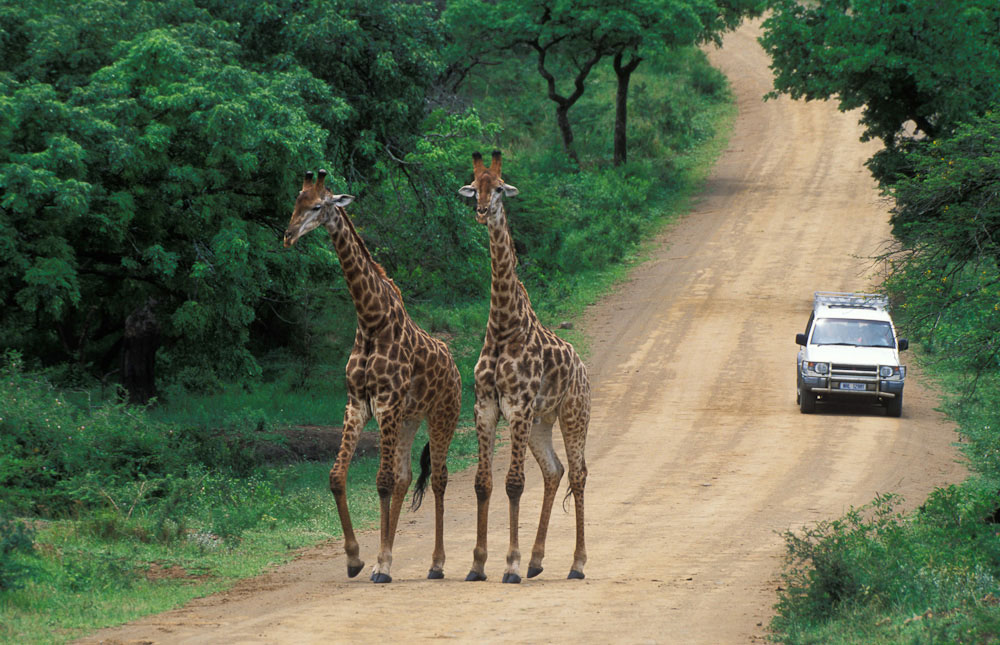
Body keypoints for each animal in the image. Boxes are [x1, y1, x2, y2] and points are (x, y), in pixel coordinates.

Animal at [284, 169, 462, 580]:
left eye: (318, 206)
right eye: (296, 201)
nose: (288, 235)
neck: (369, 321)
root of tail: (456, 367)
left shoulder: (386, 405)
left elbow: (381, 482)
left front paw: (380, 562)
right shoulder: (357, 405)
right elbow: (337, 476)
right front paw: (357, 558)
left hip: (442, 416)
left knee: (438, 479)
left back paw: (436, 563)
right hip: (410, 419)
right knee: (406, 477)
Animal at [460, 151, 592, 584]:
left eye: (500, 188)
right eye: (474, 187)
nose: (483, 211)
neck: (504, 324)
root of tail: (583, 369)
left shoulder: (517, 406)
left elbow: (514, 484)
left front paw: (510, 565)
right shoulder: (485, 406)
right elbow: (483, 483)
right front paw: (477, 565)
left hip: (573, 414)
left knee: (579, 473)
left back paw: (576, 564)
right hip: (541, 423)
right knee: (554, 471)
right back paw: (537, 560)